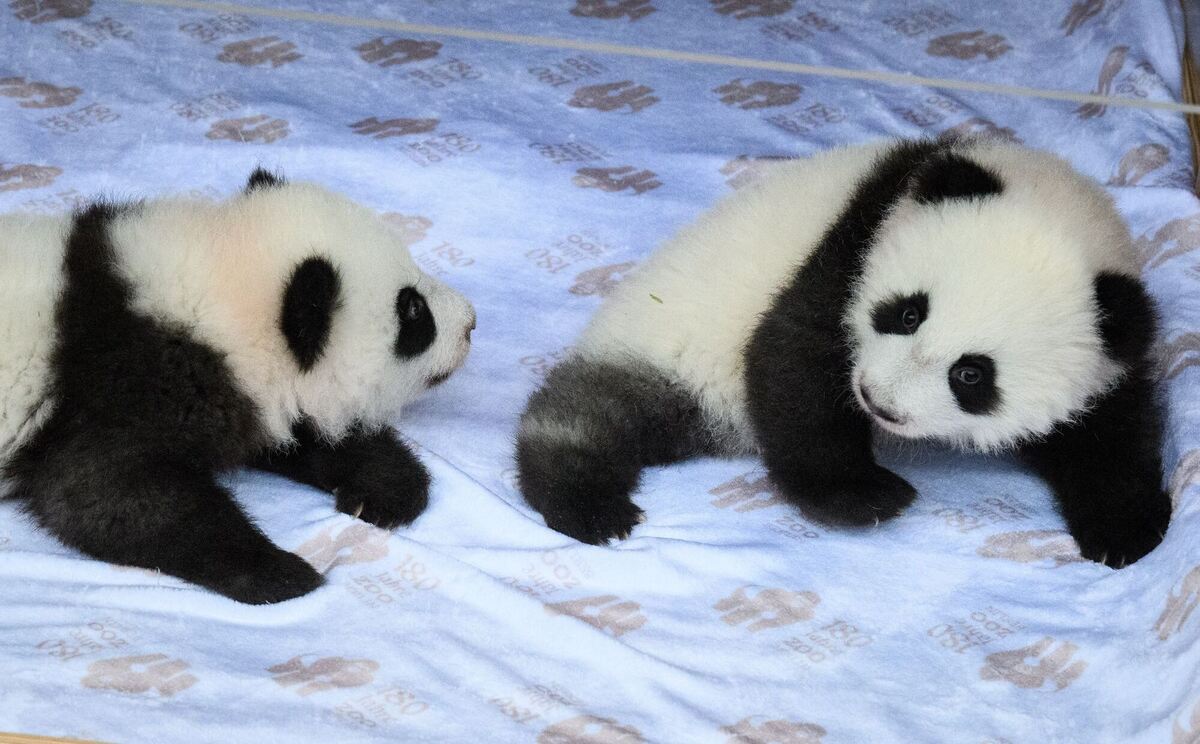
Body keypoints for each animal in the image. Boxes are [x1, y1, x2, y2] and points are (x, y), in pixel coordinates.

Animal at [0, 169, 476, 603]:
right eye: (413, 310)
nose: (471, 323)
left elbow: (300, 434)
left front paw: (386, 487)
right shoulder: (120, 384)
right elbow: (102, 496)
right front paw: (279, 573)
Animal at [516, 137, 1171, 568]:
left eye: (971, 374)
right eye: (908, 312)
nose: (877, 401)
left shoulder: (1112, 345)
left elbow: (1108, 431)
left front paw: (1124, 528)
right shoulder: (855, 240)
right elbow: (791, 360)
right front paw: (862, 495)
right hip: (664, 341)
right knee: (591, 418)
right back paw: (589, 503)